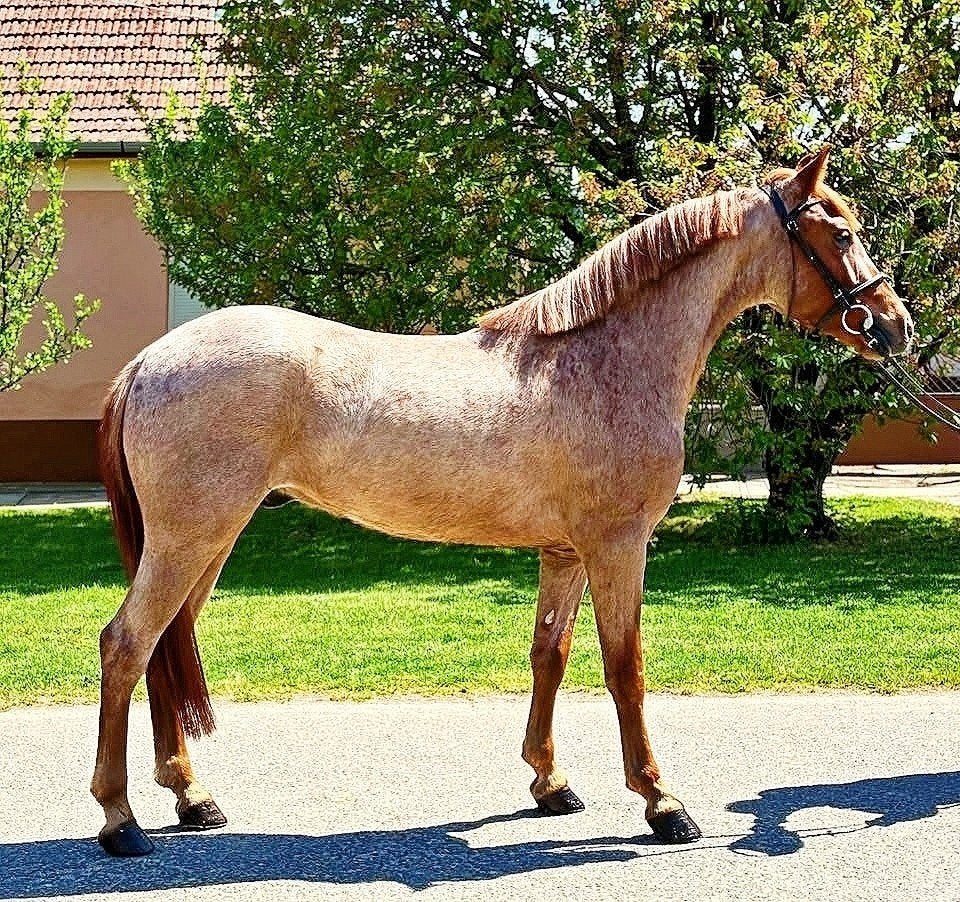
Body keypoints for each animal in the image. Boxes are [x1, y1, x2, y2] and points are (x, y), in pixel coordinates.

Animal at [92, 146, 913, 856]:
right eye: (840, 232)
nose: (894, 324)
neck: (602, 360)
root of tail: (148, 361)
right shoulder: (619, 547)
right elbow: (626, 668)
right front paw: (661, 801)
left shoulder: (566, 553)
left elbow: (551, 656)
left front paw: (550, 783)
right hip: (190, 539)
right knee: (127, 644)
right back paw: (120, 819)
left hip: (207, 544)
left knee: (164, 646)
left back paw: (191, 797)